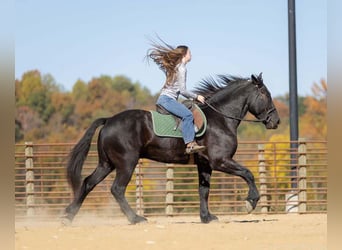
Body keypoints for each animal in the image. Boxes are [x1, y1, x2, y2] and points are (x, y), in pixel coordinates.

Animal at [62, 72, 280, 225]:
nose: (276, 121)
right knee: (117, 189)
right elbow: (248, 173)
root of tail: (108, 120)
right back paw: (136, 219)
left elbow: (204, 190)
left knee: (88, 183)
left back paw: (68, 216)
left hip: (107, 164)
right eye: (265, 95)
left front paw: (206, 217)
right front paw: (251, 202)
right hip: (126, 163)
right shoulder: (221, 161)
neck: (220, 119)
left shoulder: (205, 164)